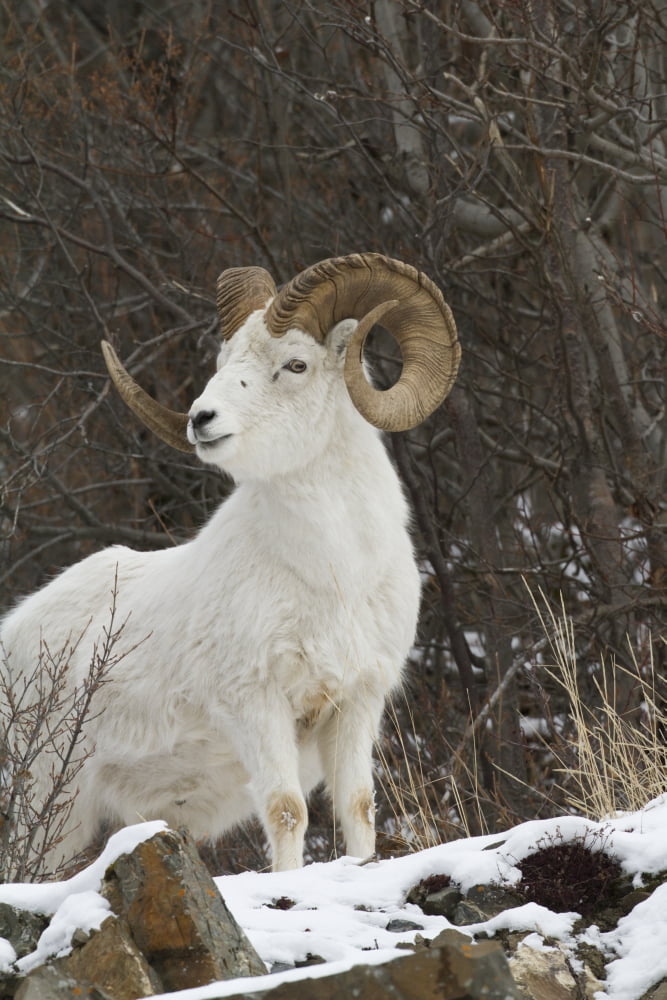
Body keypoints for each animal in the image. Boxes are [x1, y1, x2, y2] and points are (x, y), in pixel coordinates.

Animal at [0, 253, 460, 875]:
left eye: (296, 364)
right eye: (223, 362)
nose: (201, 419)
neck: (335, 576)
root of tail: (15, 633)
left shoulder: (356, 704)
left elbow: (357, 805)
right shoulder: (257, 705)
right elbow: (287, 810)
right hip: (52, 807)